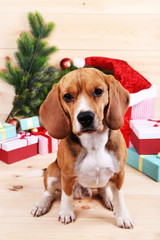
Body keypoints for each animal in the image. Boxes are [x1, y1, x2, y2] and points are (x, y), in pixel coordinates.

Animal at [31, 67, 134, 229]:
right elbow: (66, 196)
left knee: (103, 189)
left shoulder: (119, 174)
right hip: (53, 171)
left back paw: (108, 198)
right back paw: (41, 204)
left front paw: (122, 215)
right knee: (49, 193)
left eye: (98, 91)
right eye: (67, 96)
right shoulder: (67, 176)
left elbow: (119, 198)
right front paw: (66, 212)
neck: (93, 142)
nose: (85, 117)